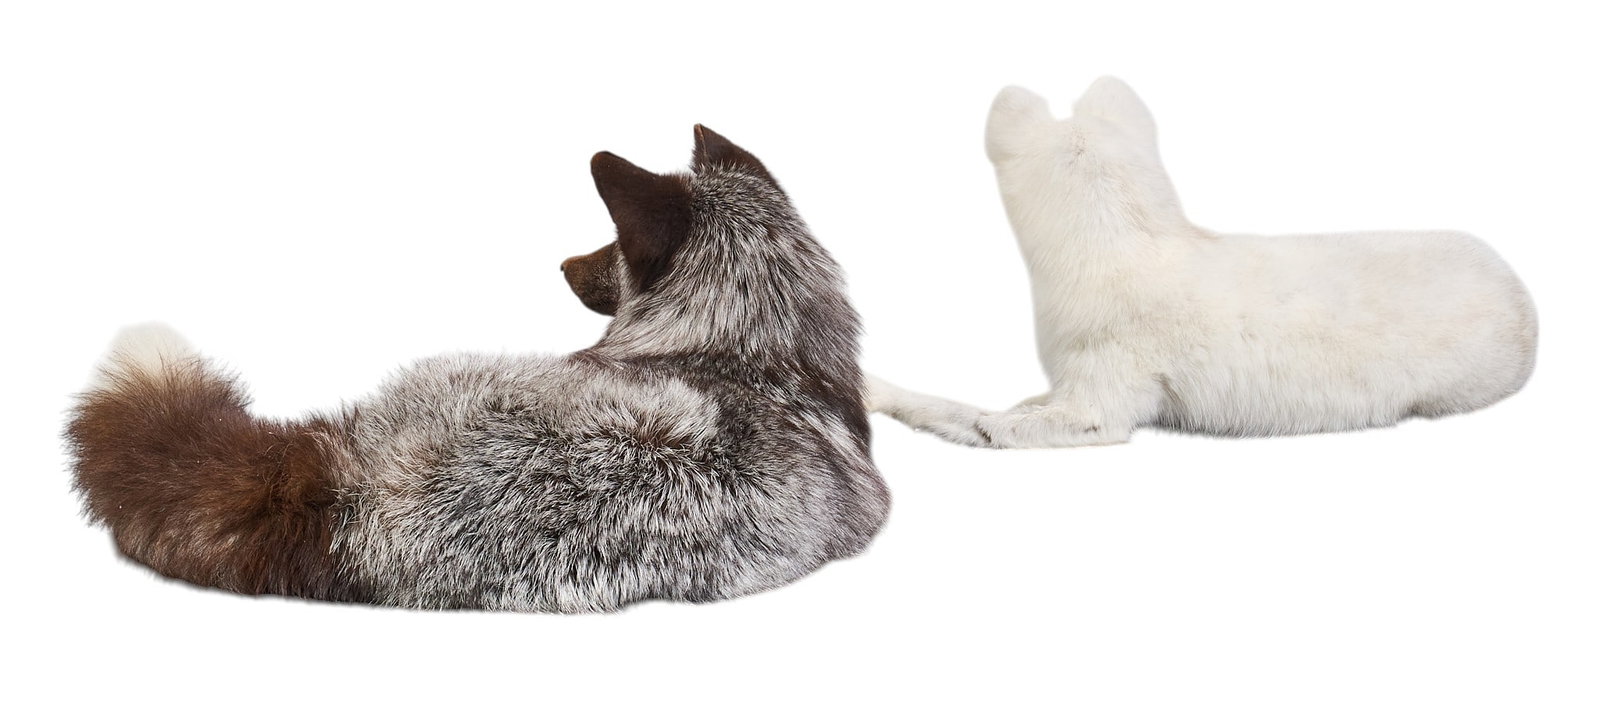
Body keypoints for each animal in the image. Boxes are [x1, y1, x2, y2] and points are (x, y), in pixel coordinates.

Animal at [871, 78, 1537, 448]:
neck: (1122, 240)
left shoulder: (1102, 393)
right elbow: (1013, 405)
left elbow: (982, 419)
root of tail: (1522, 296)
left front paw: (879, 389)